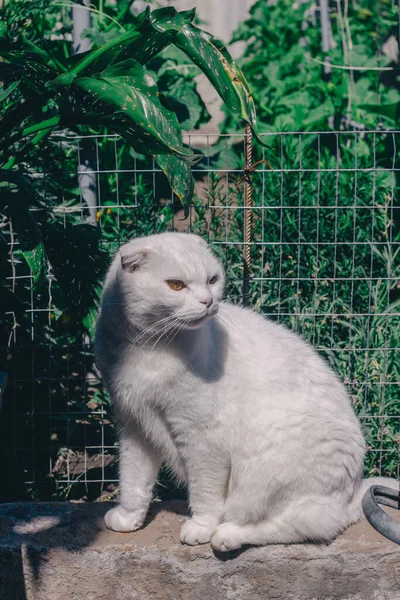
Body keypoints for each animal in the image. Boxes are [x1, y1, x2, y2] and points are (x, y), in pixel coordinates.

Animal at [95, 232, 398, 552]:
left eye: (212, 280)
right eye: (176, 285)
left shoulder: (201, 435)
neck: (148, 347)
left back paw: (227, 535)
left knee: (301, 525)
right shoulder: (134, 426)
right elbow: (133, 480)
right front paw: (129, 518)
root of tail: (353, 492)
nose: (208, 301)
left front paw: (201, 527)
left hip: (267, 460)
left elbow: (204, 490)